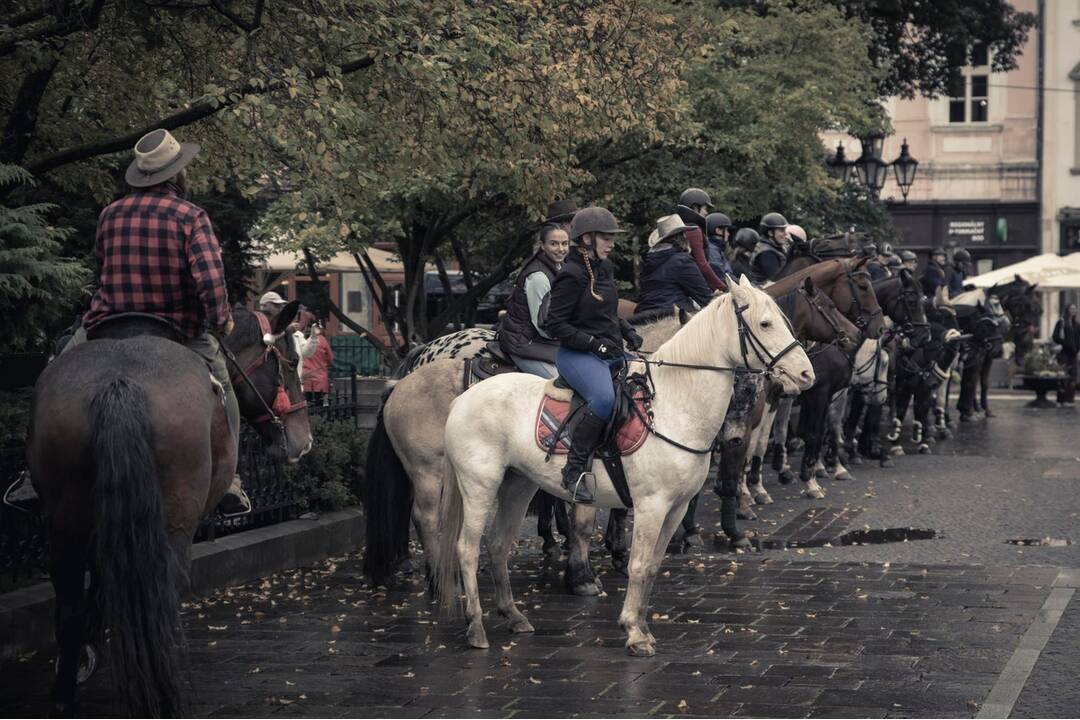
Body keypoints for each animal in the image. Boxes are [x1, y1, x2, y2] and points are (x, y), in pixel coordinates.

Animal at [28, 302, 313, 716]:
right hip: (174, 523)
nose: (304, 442)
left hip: (64, 522)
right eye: (292, 363)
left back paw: (67, 691)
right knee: (162, 598)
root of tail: (119, 383)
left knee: (69, 606)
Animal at [429, 278, 812, 660]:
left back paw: (513, 616)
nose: (806, 374)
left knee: (497, 545)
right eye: (765, 324)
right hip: (479, 486)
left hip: (517, 485)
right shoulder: (651, 505)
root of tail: (463, 398)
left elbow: (653, 566)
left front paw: (642, 626)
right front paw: (633, 632)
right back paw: (476, 627)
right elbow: (638, 565)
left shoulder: (676, 508)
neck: (673, 405)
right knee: (467, 548)